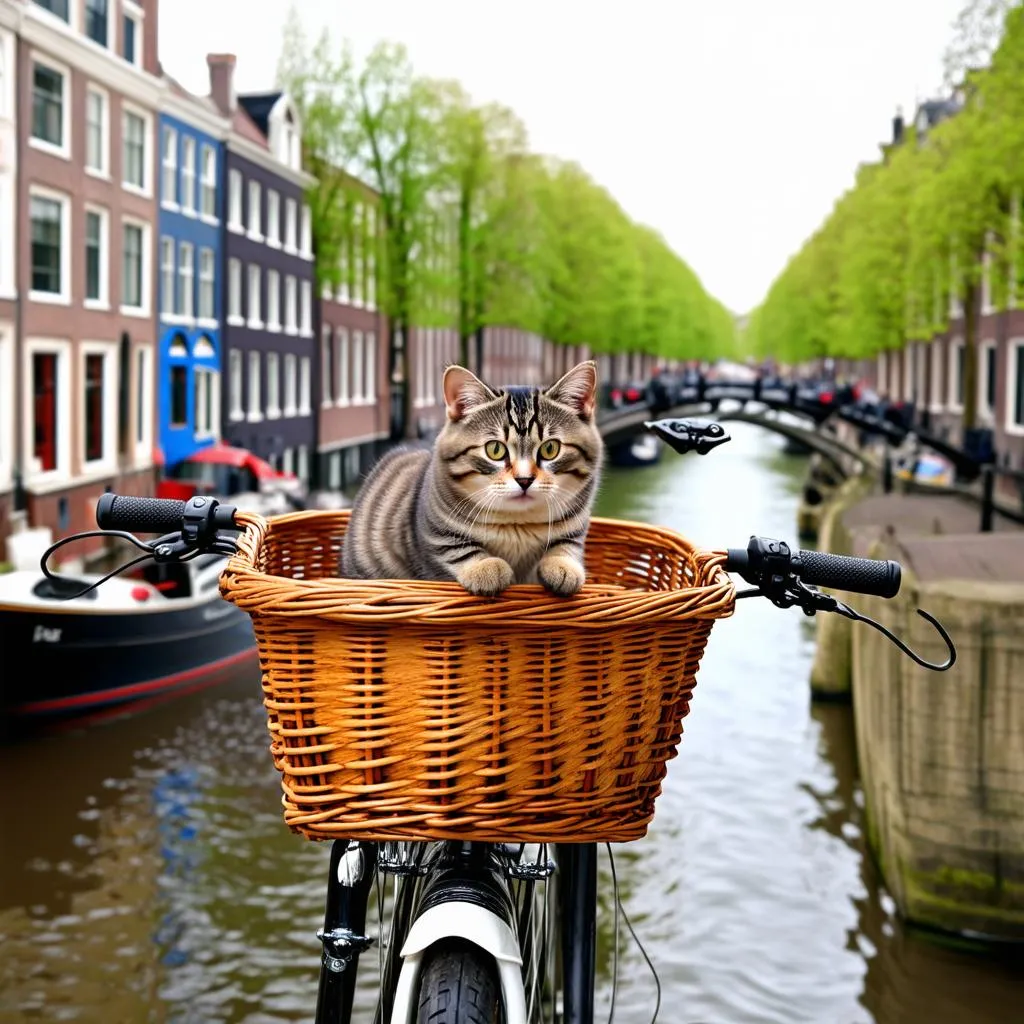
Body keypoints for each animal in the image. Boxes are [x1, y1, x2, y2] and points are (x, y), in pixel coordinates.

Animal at [339, 362, 602, 598]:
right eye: (495, 450)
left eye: (550, 449)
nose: (525, 479)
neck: (517, 524)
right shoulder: (434, 531)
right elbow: (458, 549)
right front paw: (486, 568)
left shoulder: (575, 527)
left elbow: (565, 545)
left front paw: (563, 567)